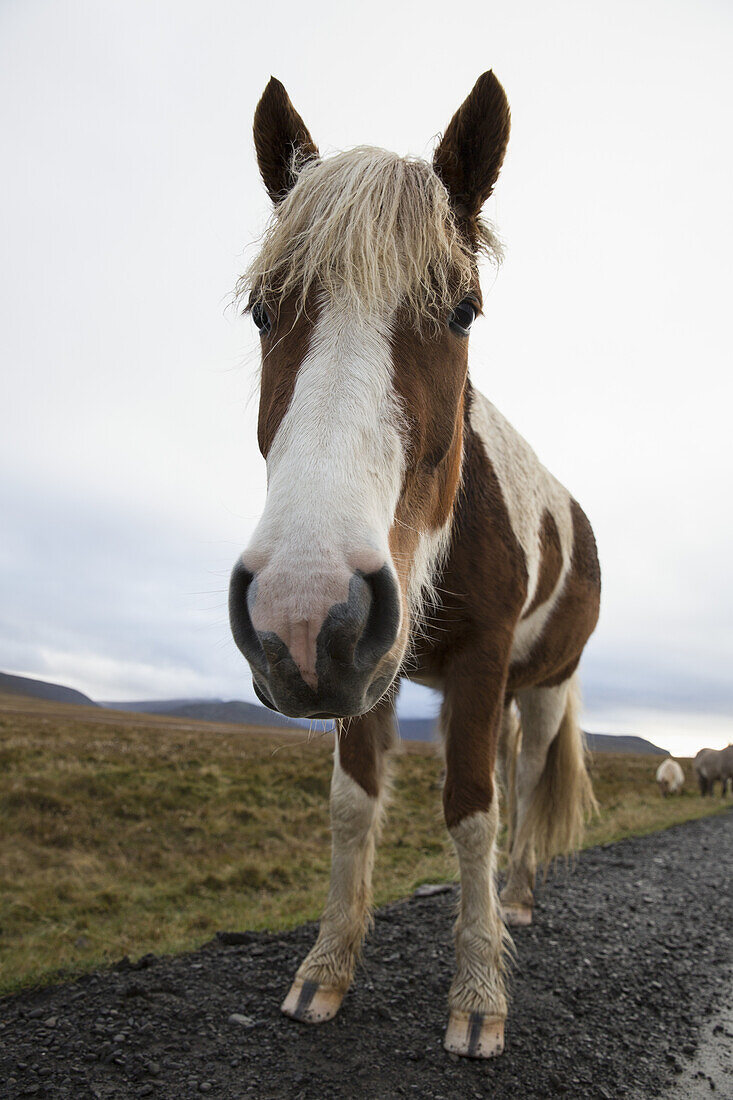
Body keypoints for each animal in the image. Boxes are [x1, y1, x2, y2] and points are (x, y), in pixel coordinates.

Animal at [228, 73, 598, 1060]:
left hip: (539, 688)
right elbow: (354, 803)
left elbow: (471, 807)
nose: (298, 608)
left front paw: (477, 994)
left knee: (519, 783)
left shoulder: (475, 661)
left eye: (462, 309)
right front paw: (326, 968)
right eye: (262, 310)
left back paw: (516, 900)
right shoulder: (363, 668)